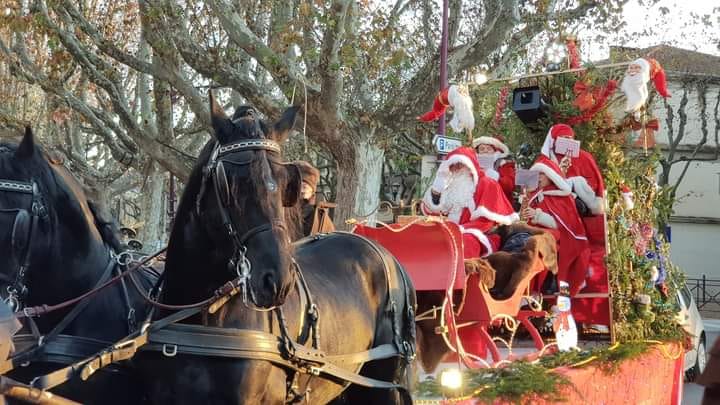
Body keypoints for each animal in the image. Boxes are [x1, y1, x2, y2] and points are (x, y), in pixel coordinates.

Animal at [136, 95, 416, 404]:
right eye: (230, 182)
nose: (277, 280)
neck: (201, 320)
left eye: (285, 184)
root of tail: (386, 256)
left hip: (382, 382)